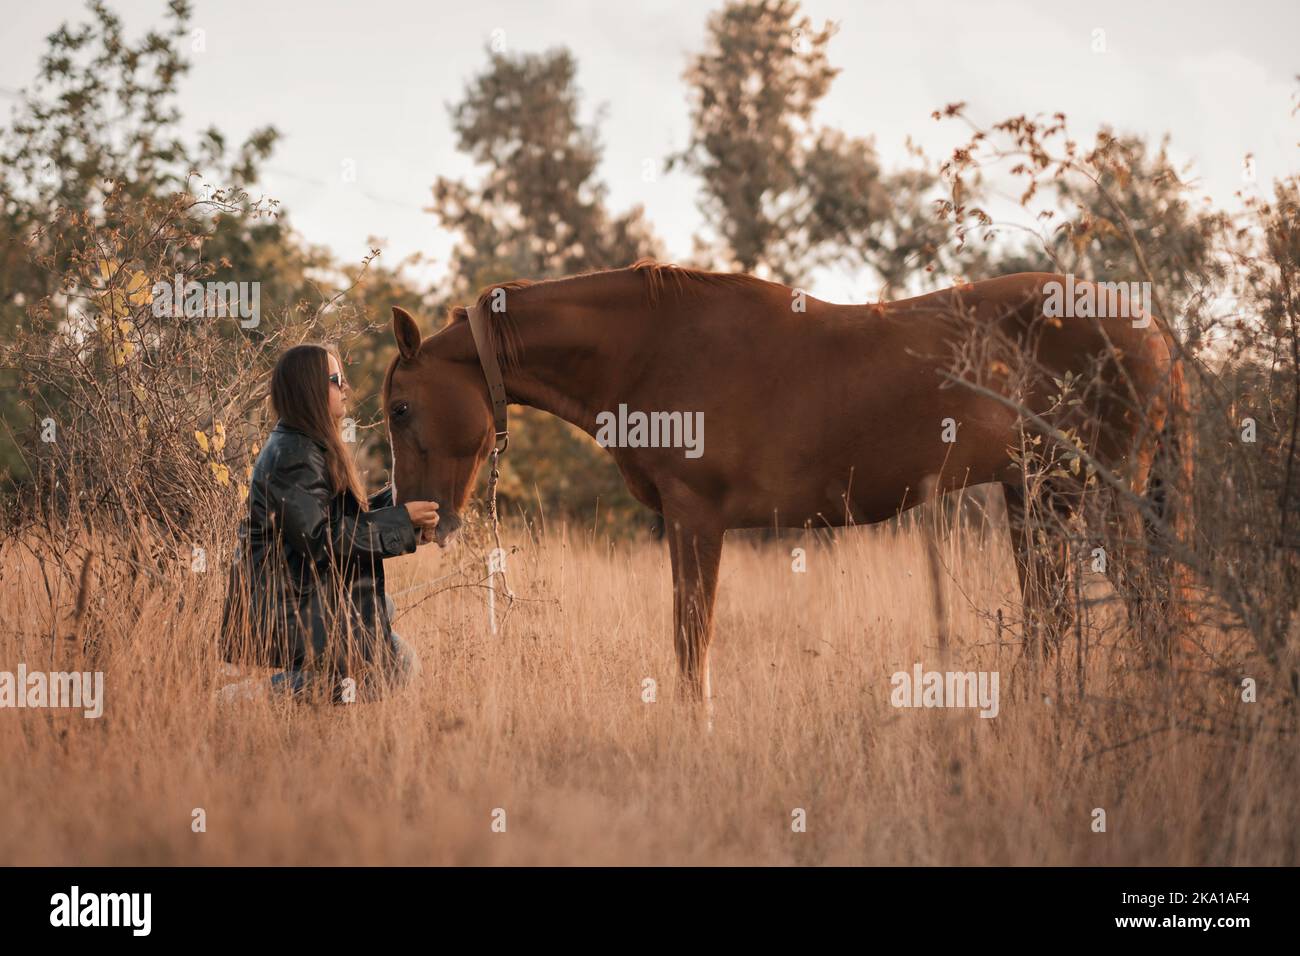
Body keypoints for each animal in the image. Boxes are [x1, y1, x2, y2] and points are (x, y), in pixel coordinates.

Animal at [379, 260, 1190, 702]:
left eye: (399, 408)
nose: (424, 520)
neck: (649, 348)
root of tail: (1153, 329)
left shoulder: (696, 519)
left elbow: (692, 640)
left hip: (1100, 498)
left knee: (1146, 609)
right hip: (1039, 496)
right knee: (1052, 615)